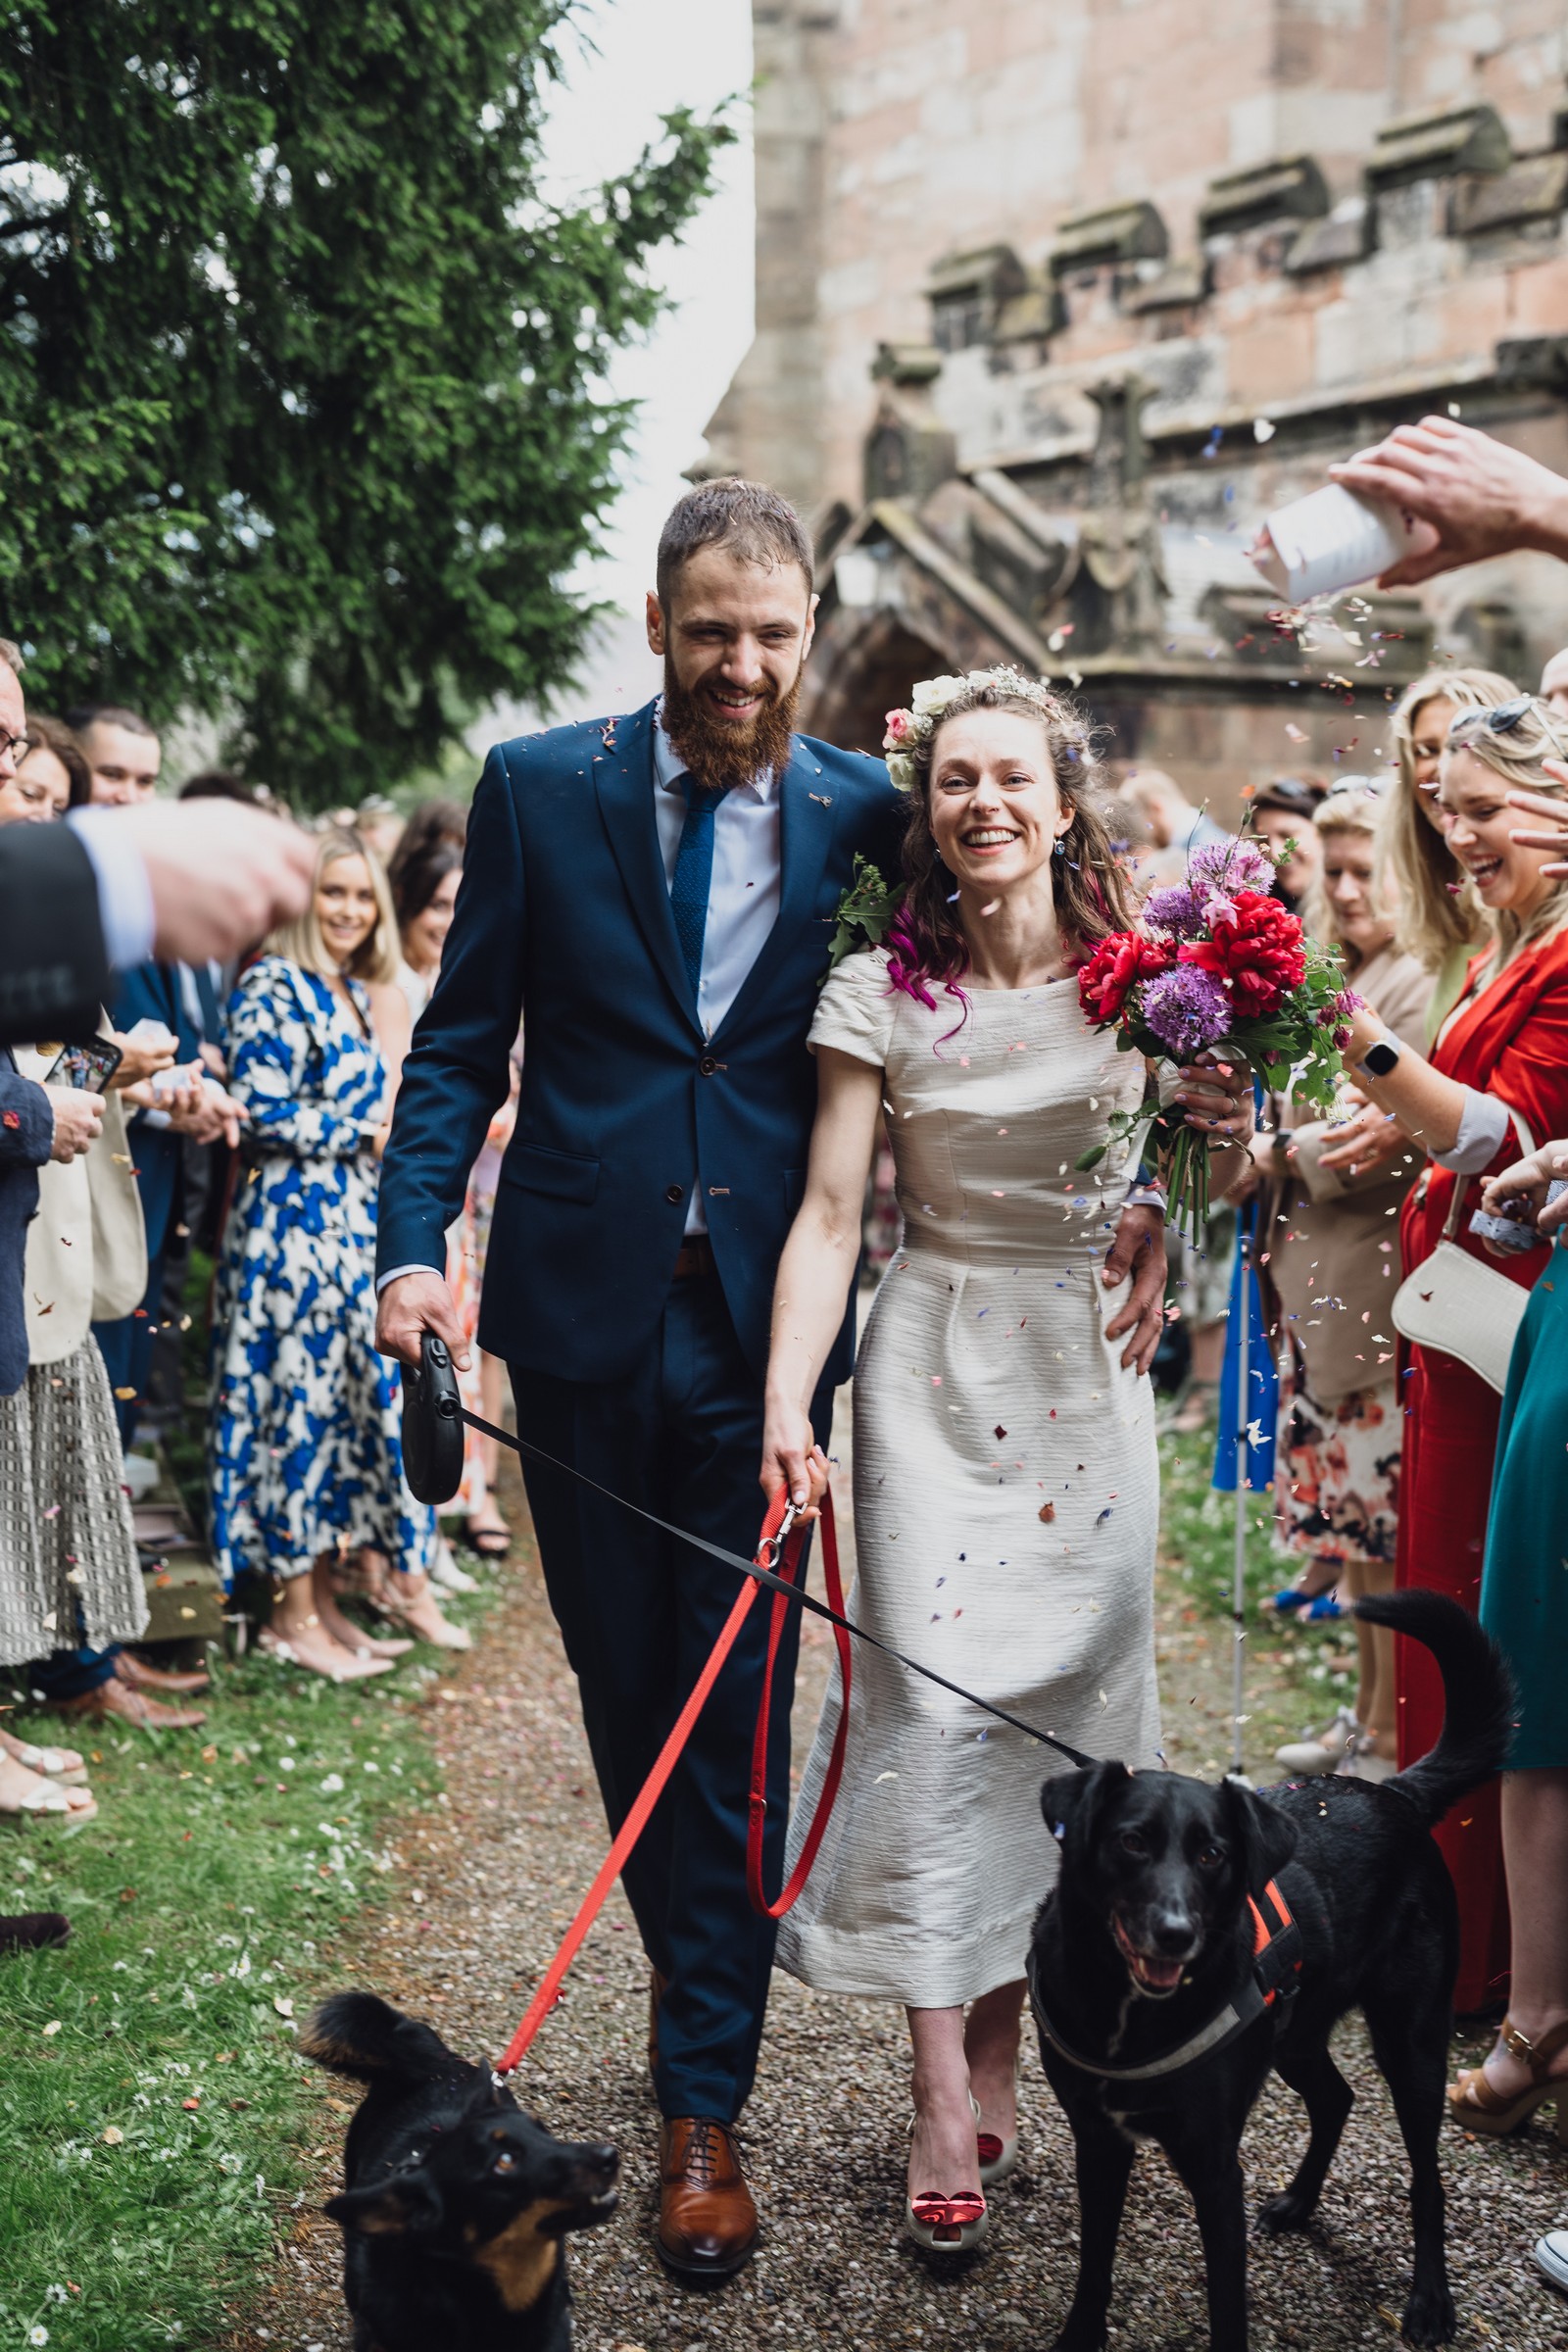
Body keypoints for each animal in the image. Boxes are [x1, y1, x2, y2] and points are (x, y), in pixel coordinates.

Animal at [1024, 1580, 1513, 2352]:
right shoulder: (1098, 2142)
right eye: (1131, 1842)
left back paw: (1431, 2302)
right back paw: (1300, 2204)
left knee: (1427, 2177)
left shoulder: (1214, 2166)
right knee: (1336, 2098)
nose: (1177, 1935)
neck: (1130, 2013)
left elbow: (1228, 2307)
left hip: (1412, 2044)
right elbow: (1094, 2262)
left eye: (1212, 1854)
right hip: (1297, 2033)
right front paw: (1080, 2334)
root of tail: (1396, 1794)